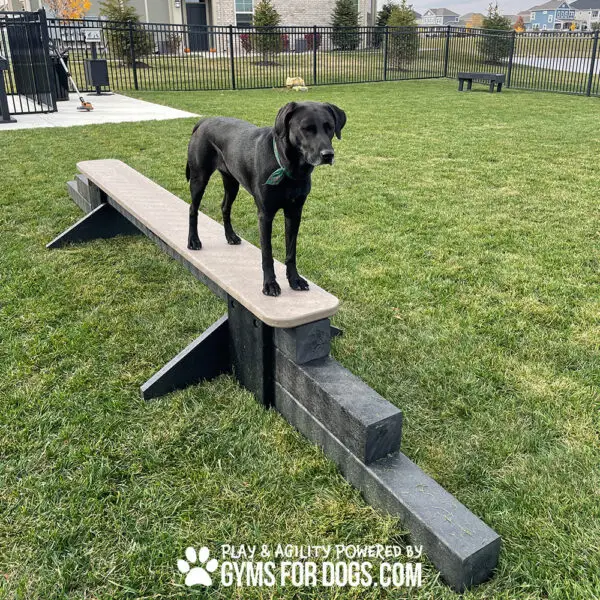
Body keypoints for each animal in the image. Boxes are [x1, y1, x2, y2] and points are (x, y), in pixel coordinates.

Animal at [188, 102, 346, 296]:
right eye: (306, 128)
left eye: (329, 127)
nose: (328, 154)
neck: (288, 166)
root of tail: (204, 121)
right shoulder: (265, 215)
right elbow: (267, 253)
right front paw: (270, 284)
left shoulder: (294, 212)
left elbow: (291, 251)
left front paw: (295, 279)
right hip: (199, 178)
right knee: (193, 208)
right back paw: (193, 241)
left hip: (232, 182)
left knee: (225, 207)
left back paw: (230, 236)